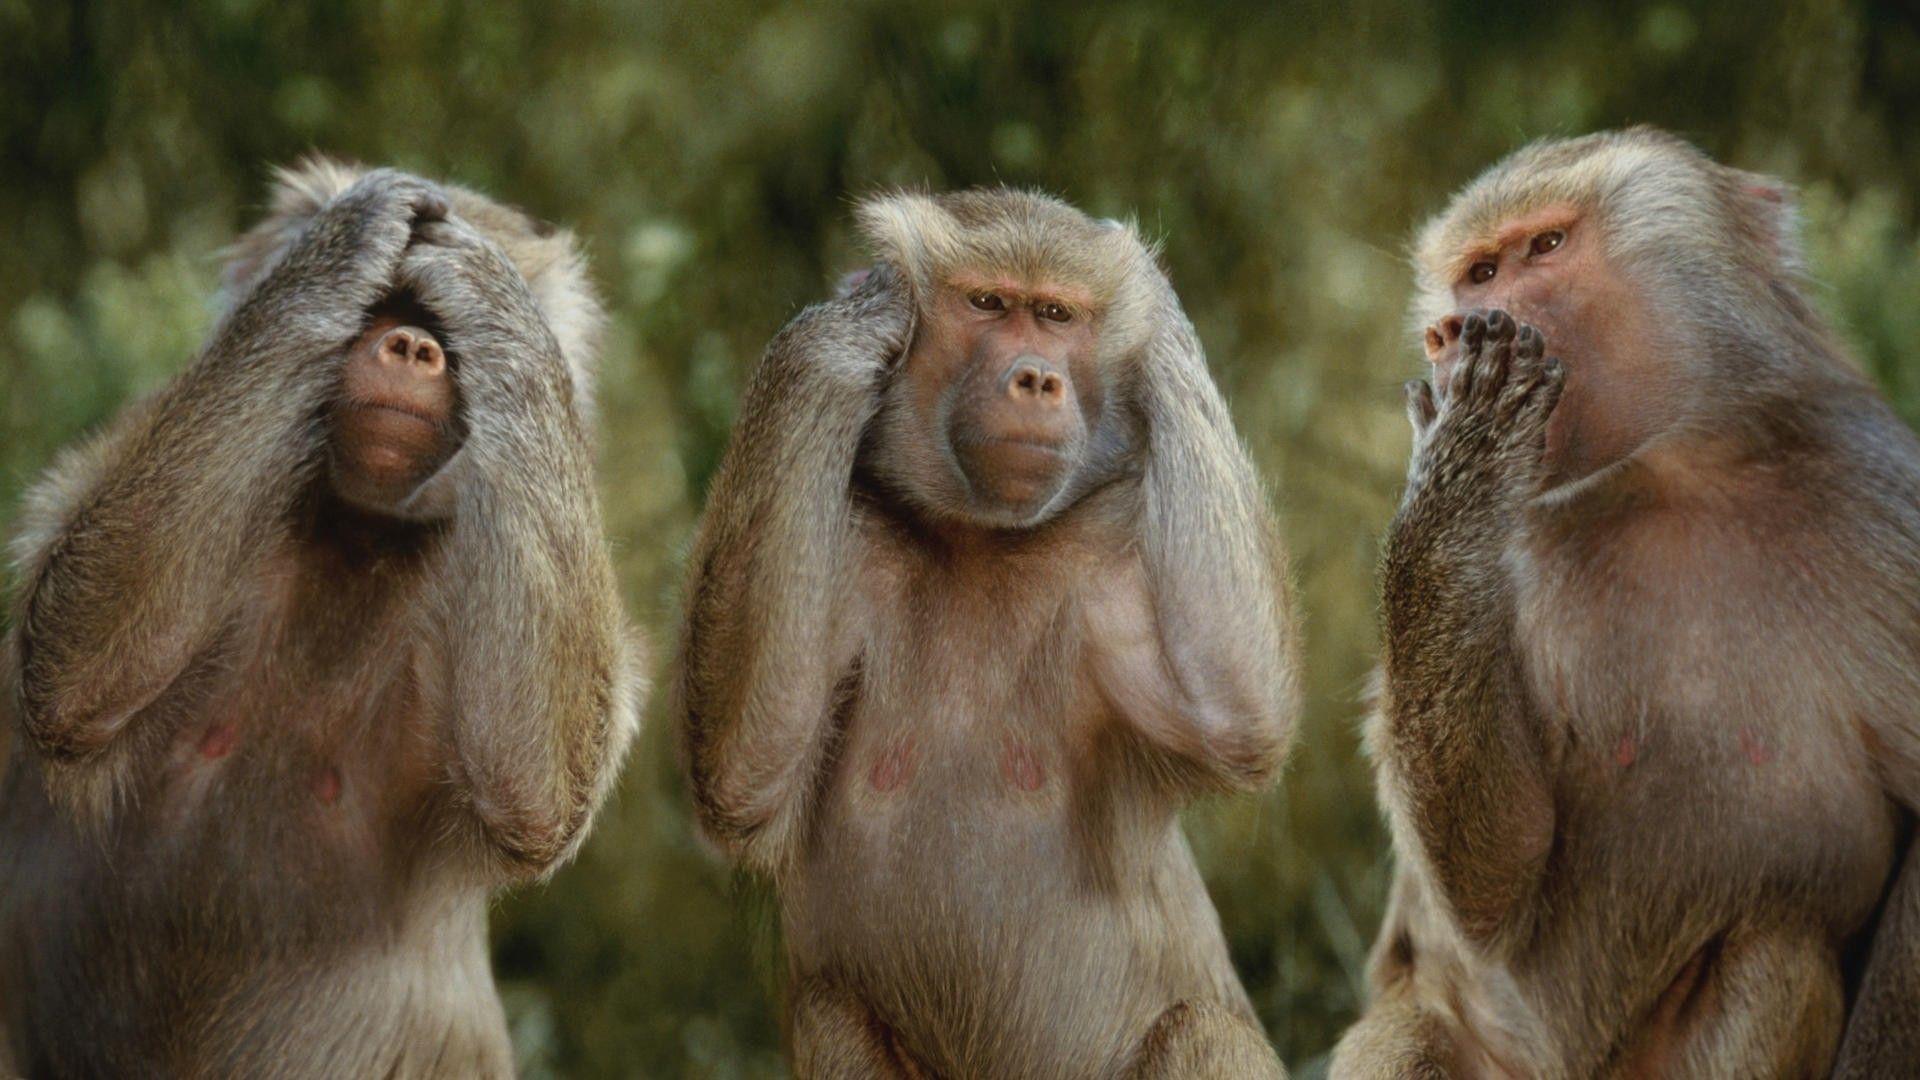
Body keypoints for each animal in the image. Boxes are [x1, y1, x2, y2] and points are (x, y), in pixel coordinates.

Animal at [0, 160, 643, 1077]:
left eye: (441, 326)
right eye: (383, 306)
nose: (412, 346)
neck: (353, 534)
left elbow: (536, 791)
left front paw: (488, 284)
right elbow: (72, 669)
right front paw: (350, 234)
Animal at [673, 189, 1300, 1079]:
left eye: (1057, 314)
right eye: (989, 304)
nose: (1035, 377)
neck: (978, 538)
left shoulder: (1109, 554)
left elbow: (1237, 715)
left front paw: (1162, 317)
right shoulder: (850, 541)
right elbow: (742, 776)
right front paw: (851, 321)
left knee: (1203, 1033)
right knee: (831, 1014)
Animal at [1329, 127, 1920, 1078]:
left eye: (1545, 247)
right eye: (1477, 272)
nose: (1447, 331)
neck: (1671, 475)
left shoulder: (1877, 496)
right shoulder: (1518, 546)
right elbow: (1497, 882)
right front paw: (1460, 460)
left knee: (1776, 956)